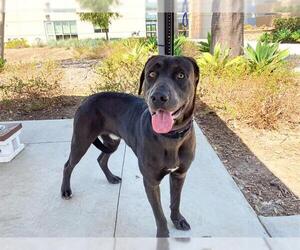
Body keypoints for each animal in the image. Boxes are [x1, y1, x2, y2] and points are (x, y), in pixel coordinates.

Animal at [60, 55, 199, 237]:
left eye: (181, 75)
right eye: (151, 74)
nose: (158, 97)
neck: (171, 137)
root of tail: (86, 98)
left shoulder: (180, 174)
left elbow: (176, 201)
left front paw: (177, 220)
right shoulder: (151, 182)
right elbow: (159, 214)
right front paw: (163, 234)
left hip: (112, 142)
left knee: (101, 159)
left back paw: (111, 178)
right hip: (81, 141)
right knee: (68, 165)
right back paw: (65, 191)